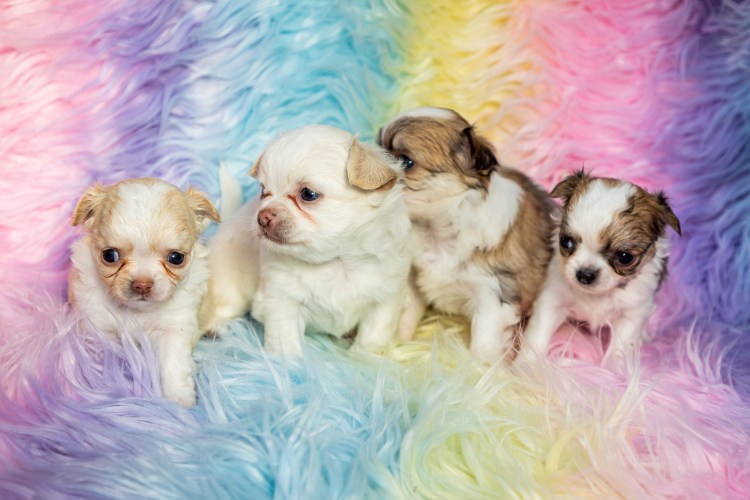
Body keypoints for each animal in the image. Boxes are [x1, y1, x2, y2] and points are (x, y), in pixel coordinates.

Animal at [69, 178, 220, 406]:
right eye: (110, 255)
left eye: (176, 258)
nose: (142, 284)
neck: (136, 312)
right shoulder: (96, 326)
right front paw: (98, 385)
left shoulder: (174, 328)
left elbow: (173, 365)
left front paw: (178, 400)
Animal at [199, 124, 412, 357]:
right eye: (264, 191)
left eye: (308, 194)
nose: (262, 216)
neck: (337, 262)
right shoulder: (282, 301)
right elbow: (285, 342)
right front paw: (290, 363)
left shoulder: (384, 301)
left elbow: (372, 338)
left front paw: (363, 358)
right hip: (229, 282)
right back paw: (215, 328)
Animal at [378, 107, 555, 362]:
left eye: (405, 162)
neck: (437, 229)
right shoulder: (412, 273)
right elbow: (408, 313)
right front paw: (399, 346)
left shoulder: (492, 294)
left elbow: (483, 340)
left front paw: (477, 367)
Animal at [517, 170, 681, 363]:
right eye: (566, 241)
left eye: (625, 257)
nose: (585, 274)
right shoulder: (552, 300)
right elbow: (537, 335)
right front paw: (525, 365)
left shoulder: (632, 314)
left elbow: (620, 349)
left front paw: (615, 369)